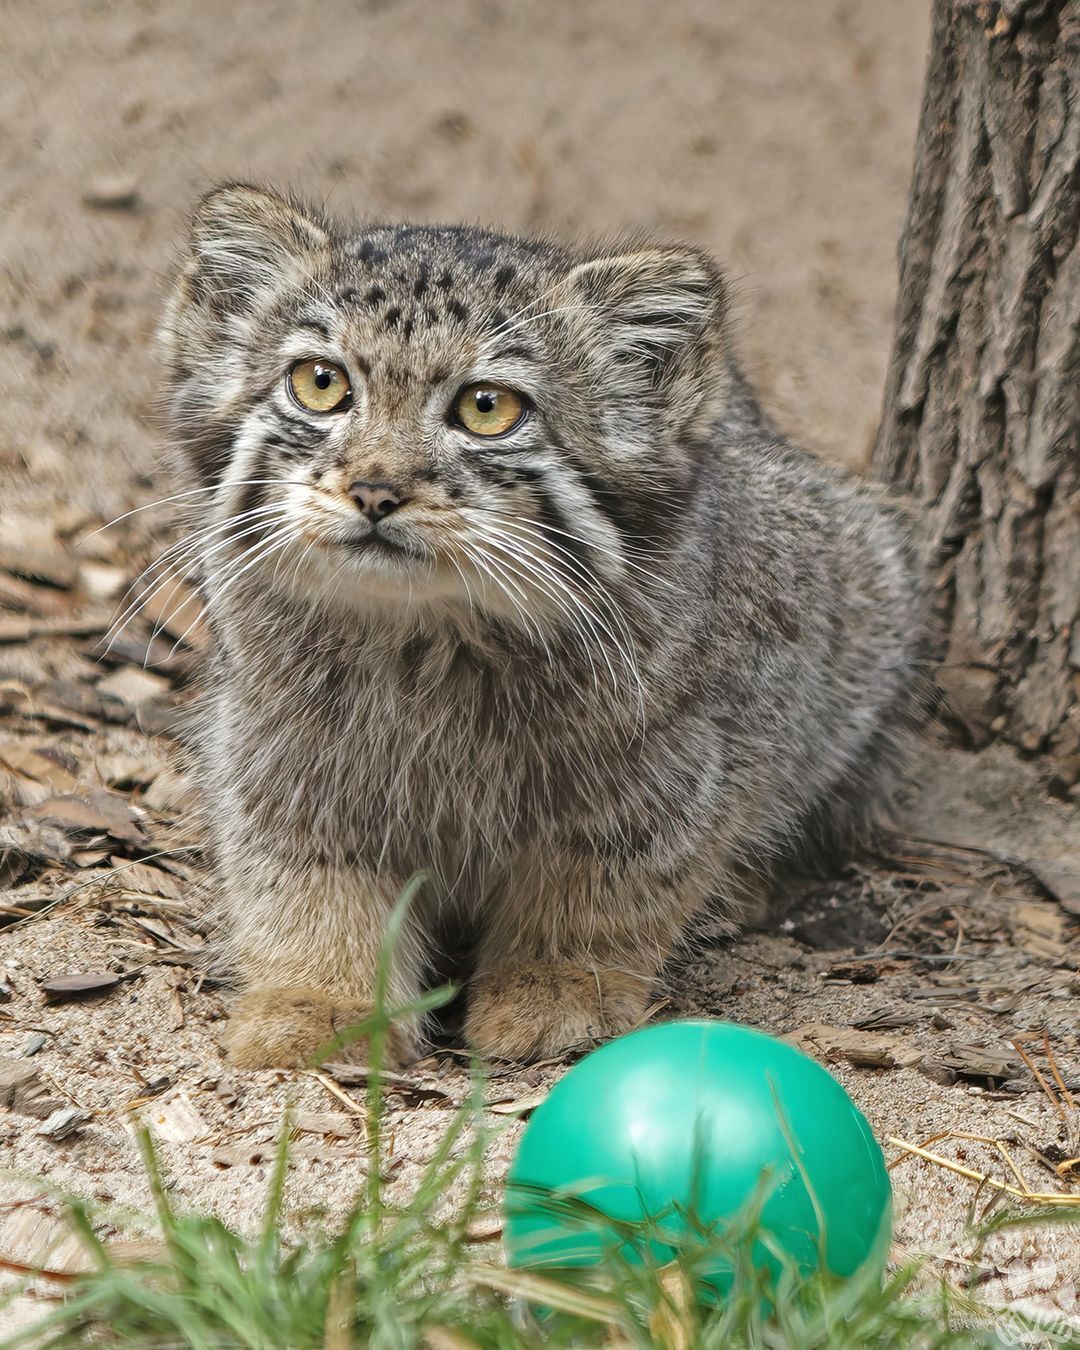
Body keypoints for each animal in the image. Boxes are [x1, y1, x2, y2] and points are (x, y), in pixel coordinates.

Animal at [157, 184, 918, 1063]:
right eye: (319, 384)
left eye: (487, 408)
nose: (377, 489)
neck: (424, 645)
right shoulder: (277, 756)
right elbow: (304, 887)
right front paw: (321, 1000)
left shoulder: (672, 771)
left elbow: (601, 892)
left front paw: (556, 987)